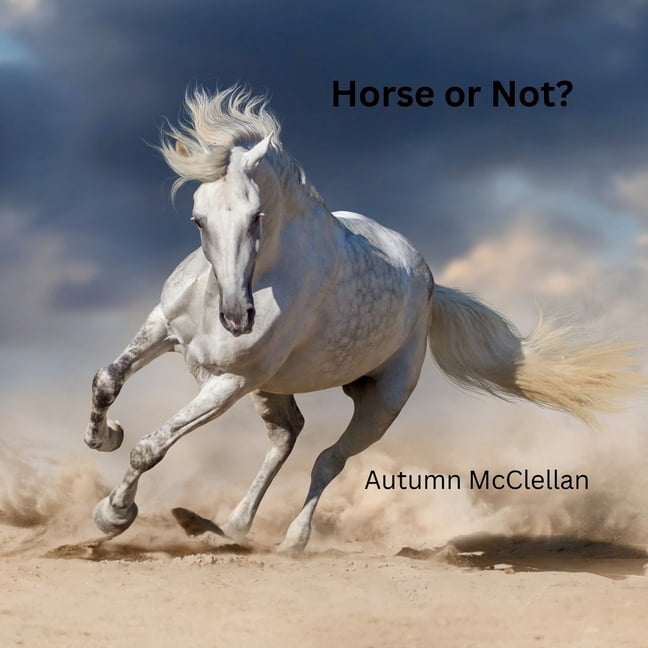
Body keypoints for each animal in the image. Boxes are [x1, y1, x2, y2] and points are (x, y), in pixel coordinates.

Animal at [85, 86, 642, 552]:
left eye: (257, 216)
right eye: (198, 219)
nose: (237, 318)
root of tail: (429, 285)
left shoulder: (230, 381)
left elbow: (151, 448)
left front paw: (112, 515)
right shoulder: (164, 329)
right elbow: (107, 380)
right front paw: (102, 436)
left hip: (379, 403)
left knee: (326, 459)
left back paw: (288, 541)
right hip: (275, 386)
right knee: (287, 435)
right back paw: (226, 527)